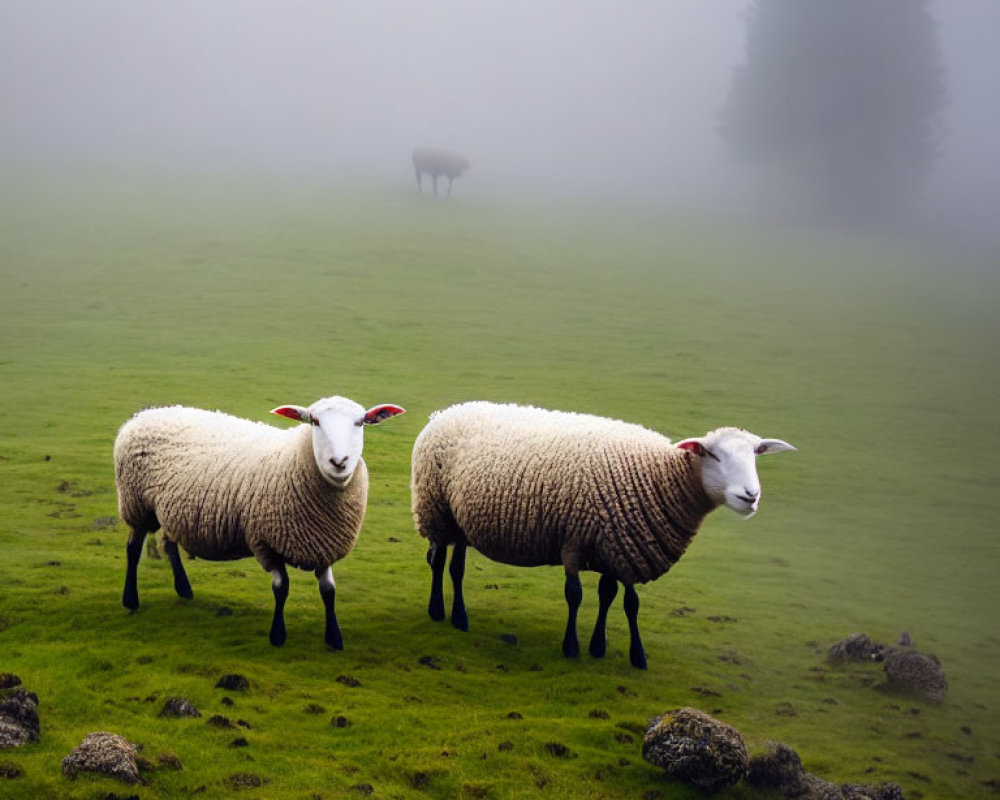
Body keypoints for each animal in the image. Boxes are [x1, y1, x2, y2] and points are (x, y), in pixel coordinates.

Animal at [113, 396, 402, 648]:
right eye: (314, 421)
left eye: (360, 423)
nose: (339, 461)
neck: (294, 458)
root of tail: (145, 415)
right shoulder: (264, 542)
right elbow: (281, 588)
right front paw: (278, 635)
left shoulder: (324, 545)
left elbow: (329, 591)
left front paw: (334, 638)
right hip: (136, 504)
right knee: (133, 549)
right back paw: (130, 600)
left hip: (171, 509)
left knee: (169, 543)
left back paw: (183, 589)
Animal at [410, 400, 792, 668]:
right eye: (713, 454)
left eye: (756, 456)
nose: (751, 495)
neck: (661, 472)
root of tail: (446, 411)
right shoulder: (574, 541)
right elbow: (575, 595)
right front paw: (572, 647)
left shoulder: (618, 546)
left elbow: (621, 600)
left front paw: (617, 650)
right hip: (436, 509)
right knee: (438, 561)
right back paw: (439, 612)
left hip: (460, 521)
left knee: (456, 567)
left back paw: (458, 616)